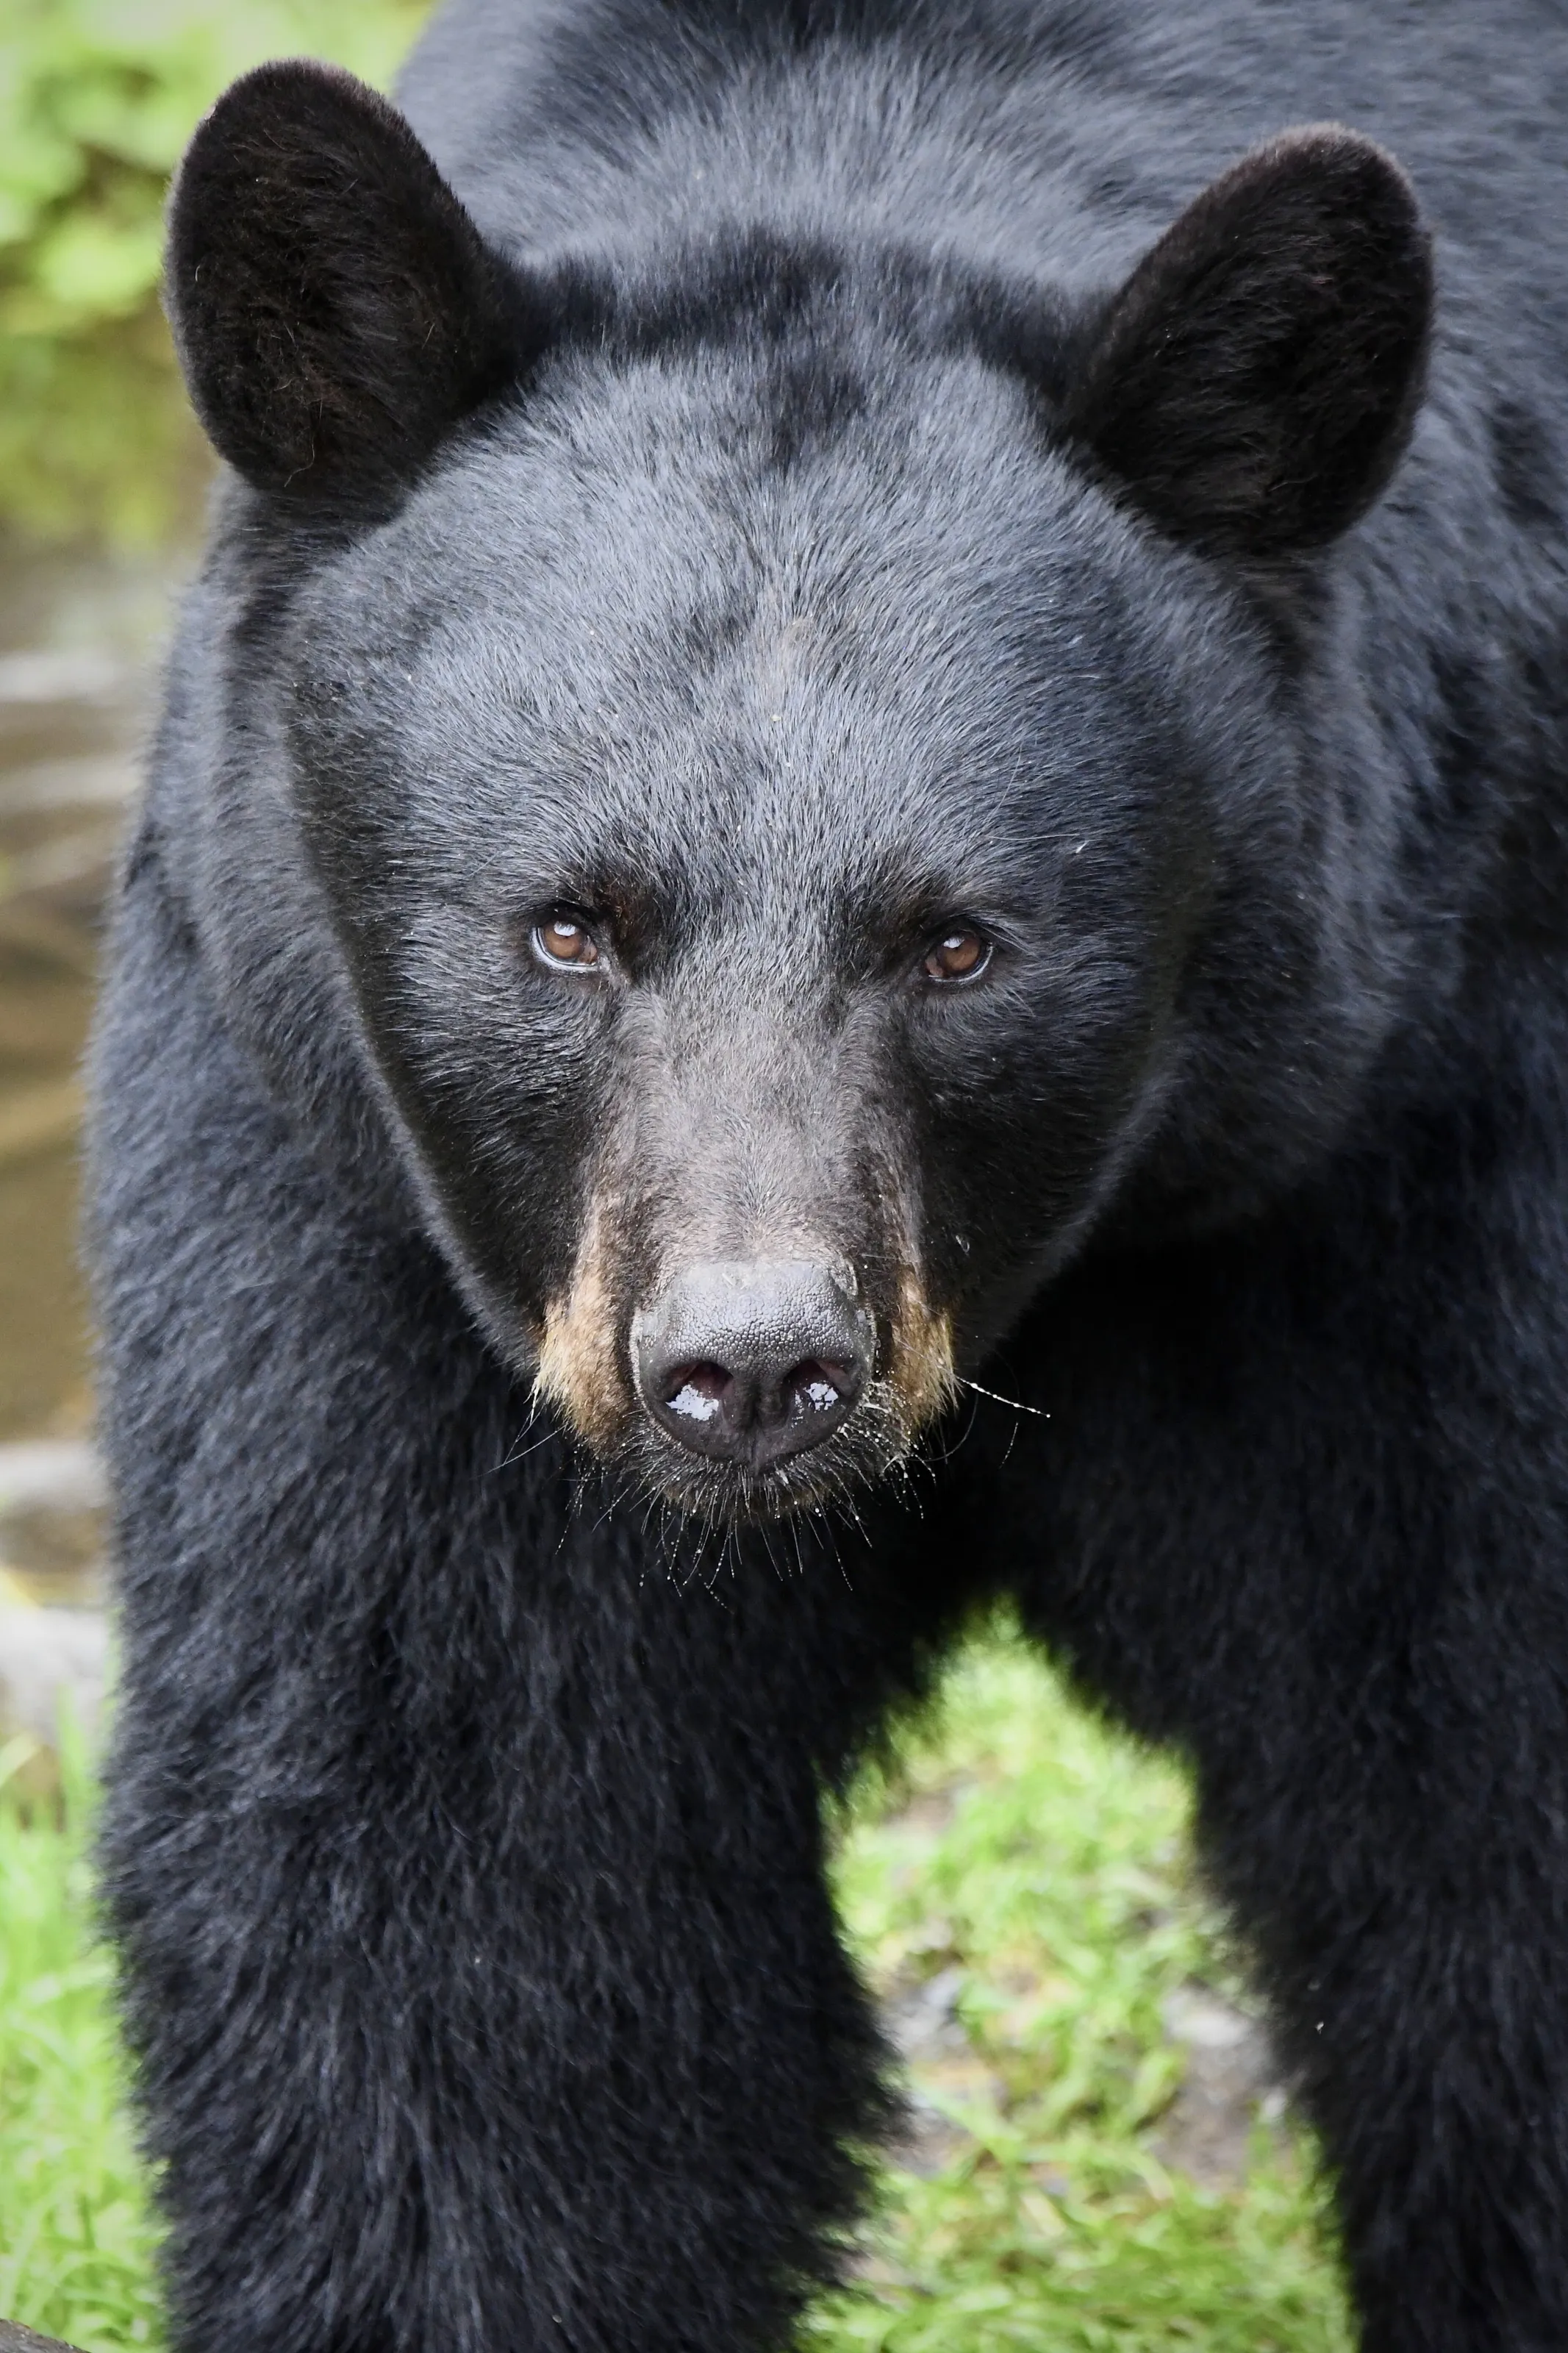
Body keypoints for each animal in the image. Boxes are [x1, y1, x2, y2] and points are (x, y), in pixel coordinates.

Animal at [86, 0, 1568, 2347]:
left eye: (956, 941)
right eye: (567, 927)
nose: (755, 1367)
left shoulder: (1407, 1109)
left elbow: (1480, 1806)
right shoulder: (348, 1189)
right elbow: (459, 1888)